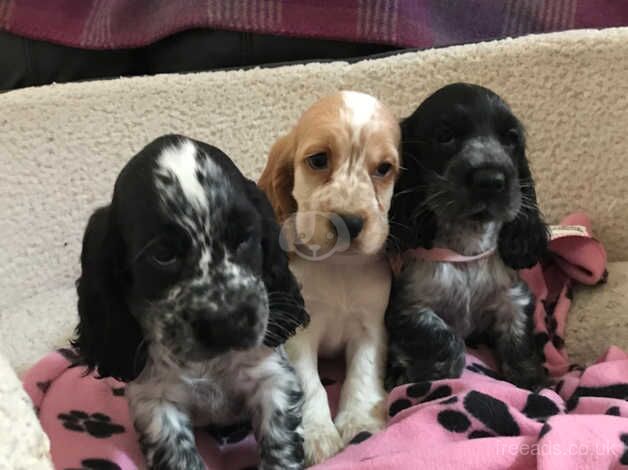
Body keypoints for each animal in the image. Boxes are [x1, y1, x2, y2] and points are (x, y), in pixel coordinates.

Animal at [73, 134, 310, 468]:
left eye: (244, 237)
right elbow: (177, 454)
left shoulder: (272, 377)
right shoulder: (154, 401)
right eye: (162, 255)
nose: (229, 323)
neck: (210, 366)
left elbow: (280, 446)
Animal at [258, 91, 400, 462]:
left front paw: (360, 422)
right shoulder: (299, 333)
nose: (350, 222)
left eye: (384, 169)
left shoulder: (371, 327)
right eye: (319, 159)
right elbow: (311, 385)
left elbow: (361, 375)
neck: (339, 265)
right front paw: (317, 435)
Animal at [386, 83, 548, 390]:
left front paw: (533, 381)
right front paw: (423, 375)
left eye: (511, 139)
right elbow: (444, 338)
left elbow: (519, 338)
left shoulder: (513, 296)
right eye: (444, 136)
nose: (492, 180)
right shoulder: (408, 306)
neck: (466, 250)